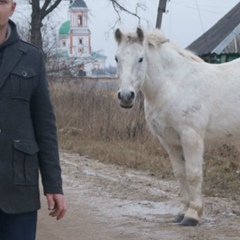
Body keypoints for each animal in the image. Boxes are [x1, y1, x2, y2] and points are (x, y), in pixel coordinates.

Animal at [114, 27, 240, 226]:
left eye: (141, 58)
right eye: (116, 58)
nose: (126, 96)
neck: (172, 86)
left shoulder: (191, 137)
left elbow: (193, 174)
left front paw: (192, 215)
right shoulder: (169, 141)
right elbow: (180, 174)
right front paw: (182, 212)